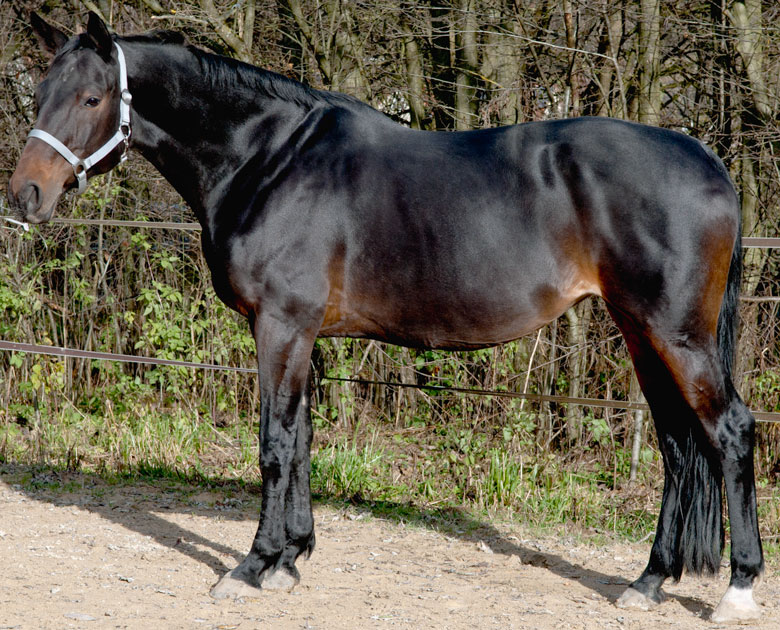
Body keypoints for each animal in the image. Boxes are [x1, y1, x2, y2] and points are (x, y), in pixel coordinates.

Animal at [4, 12, 760, 624]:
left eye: (93, 98)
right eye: (39, 94)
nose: (25, 196)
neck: (268, 159)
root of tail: (708, 162)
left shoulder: (280, 325)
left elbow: (274, 445)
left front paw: (251, 566)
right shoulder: (301, 332)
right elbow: (301, 441)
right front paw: (290, 559)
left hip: (676, 335)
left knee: (729, 433)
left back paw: (738, 589)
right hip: (641, 332)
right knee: (677, 447)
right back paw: (650, 581)